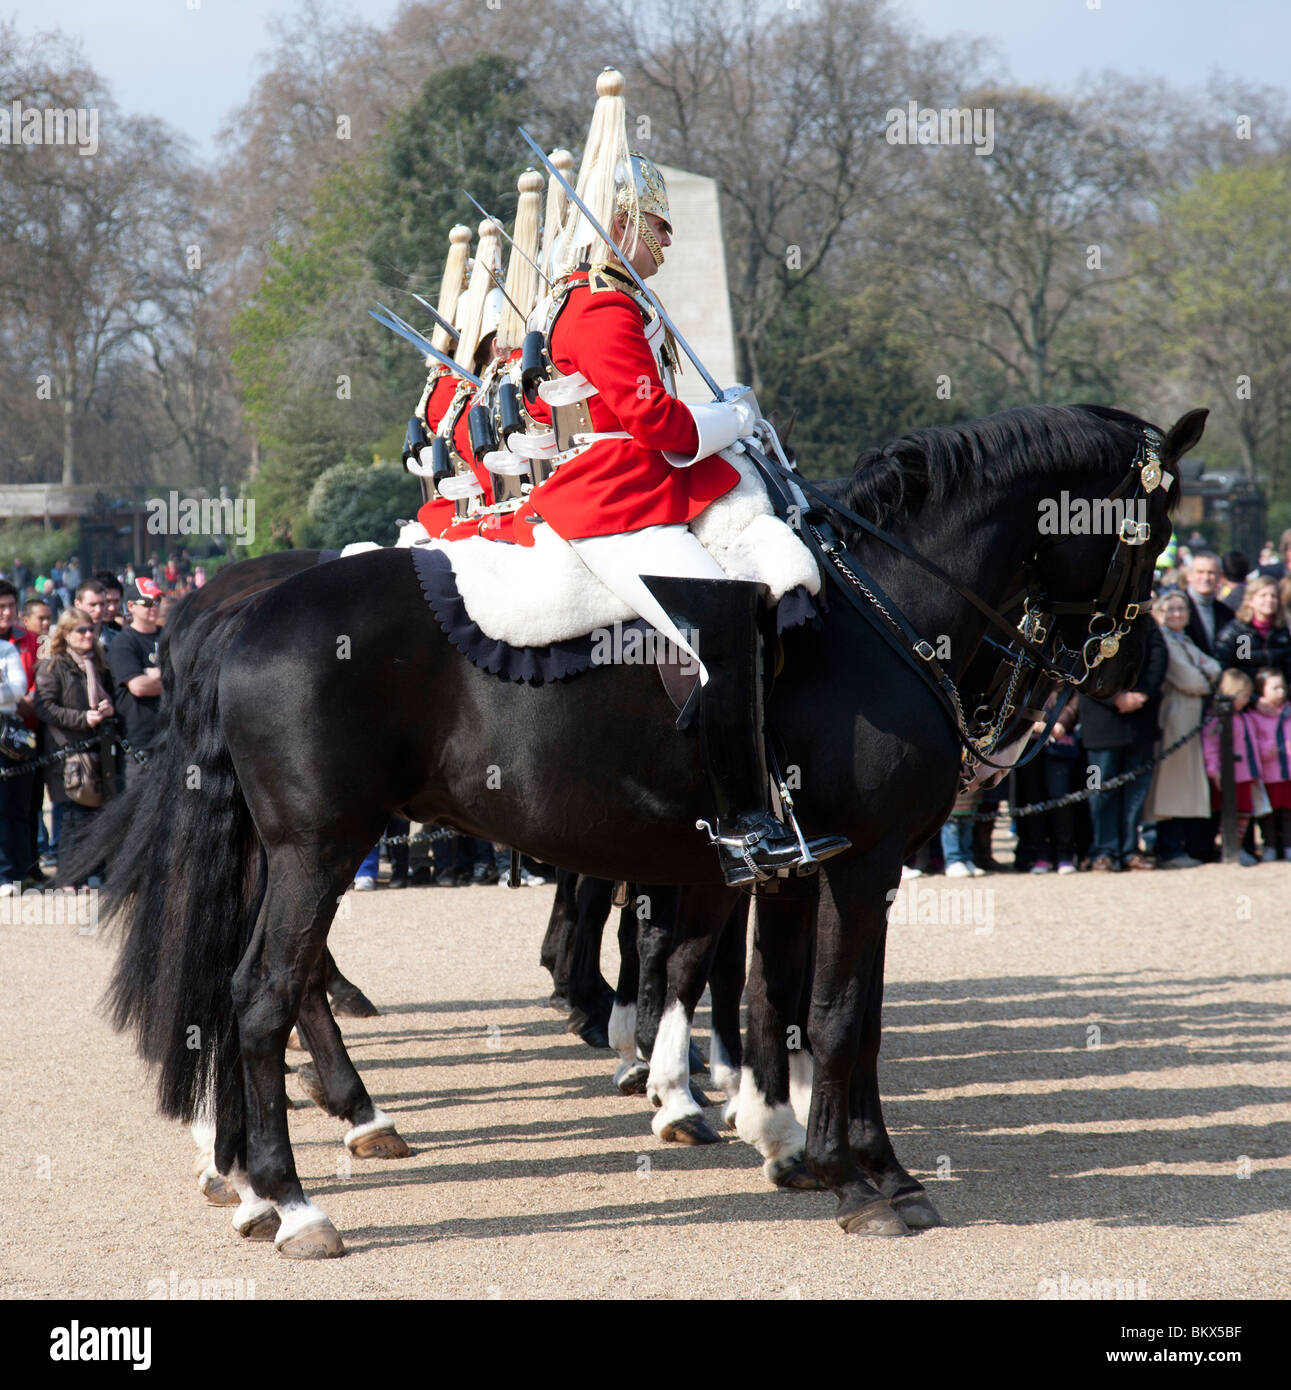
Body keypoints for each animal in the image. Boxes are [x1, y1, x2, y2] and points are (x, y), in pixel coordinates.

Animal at [72, 405, 1200, 1262]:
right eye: (1154, 524)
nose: (1118, 665)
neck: (882, 608)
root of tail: (239, 612)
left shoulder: (796, 866)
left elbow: (778, 998)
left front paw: (800, 1145)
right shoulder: (859, 864)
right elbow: (833, 1015)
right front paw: (866, 1178)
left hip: (287, 855)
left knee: (238, 989)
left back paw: (253, 1180)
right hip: (317, 851)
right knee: (263, 996)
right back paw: (298, 1195)